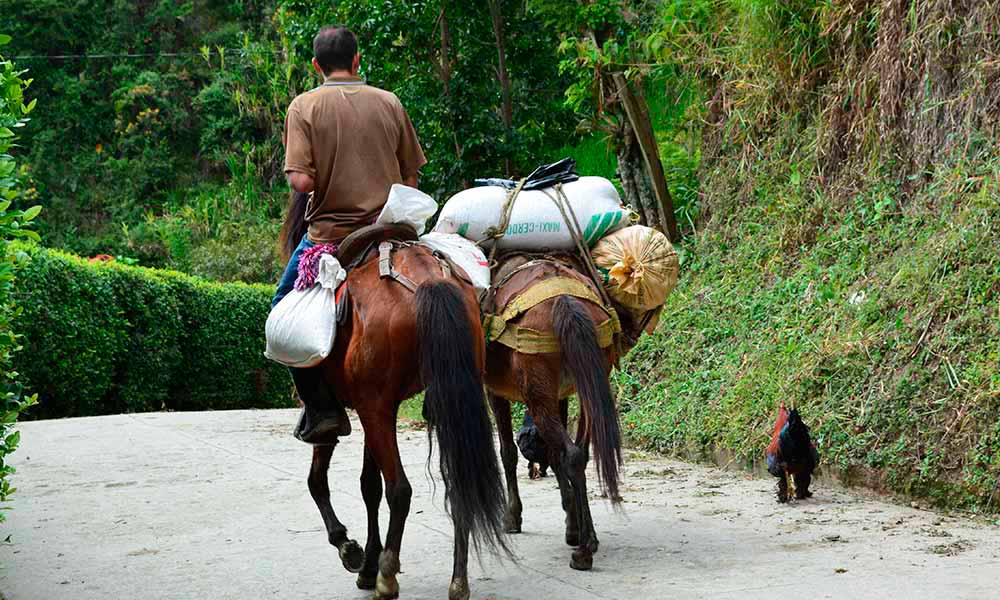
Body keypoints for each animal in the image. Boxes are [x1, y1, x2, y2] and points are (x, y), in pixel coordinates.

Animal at [282, 193, 516, 600]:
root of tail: (428, 282)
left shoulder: (355, 410)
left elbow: (320, 480)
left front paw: (353, 551)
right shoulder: (374, 407)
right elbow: (367, 485)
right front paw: (368, 561)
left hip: (377, 409)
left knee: (400, 490)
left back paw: (387, 576)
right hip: (444, 399)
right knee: (457, 484)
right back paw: (458, 580)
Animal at [484, 254, 656, 572]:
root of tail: (565, 300)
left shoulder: (495, 391)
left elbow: (508, 452)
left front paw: (512, 517)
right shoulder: (559, 394)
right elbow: (554, 455)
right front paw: (571, 520)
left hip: (539, 394)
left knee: (572, 454)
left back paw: (585, 550)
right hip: (589, 383)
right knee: (579, 454)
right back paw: (584, 537)